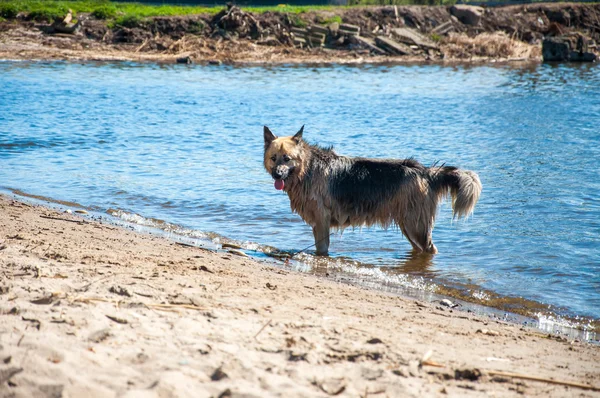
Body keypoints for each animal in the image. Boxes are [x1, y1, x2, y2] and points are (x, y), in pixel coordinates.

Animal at [262, 125, 482, 255]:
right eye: (274, 158)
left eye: (287, 159)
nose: (277, 175)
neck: (306, 169)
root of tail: (424, 171)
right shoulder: (319, 224)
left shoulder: (321, 222)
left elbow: (322, 249)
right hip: (409, 225)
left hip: (416, 226)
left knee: (430, 250)